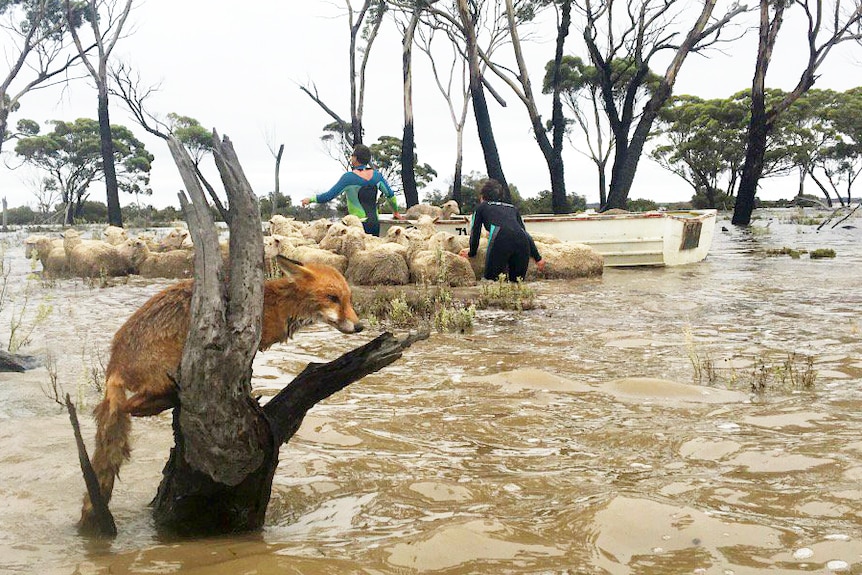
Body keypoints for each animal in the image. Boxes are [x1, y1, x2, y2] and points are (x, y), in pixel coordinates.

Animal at [79, 256, 362, 532]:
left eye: (348, 298)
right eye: (333, 298)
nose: (359, 327)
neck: (276, 304)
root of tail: (115, 362)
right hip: (166, 371)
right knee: (130, 407)